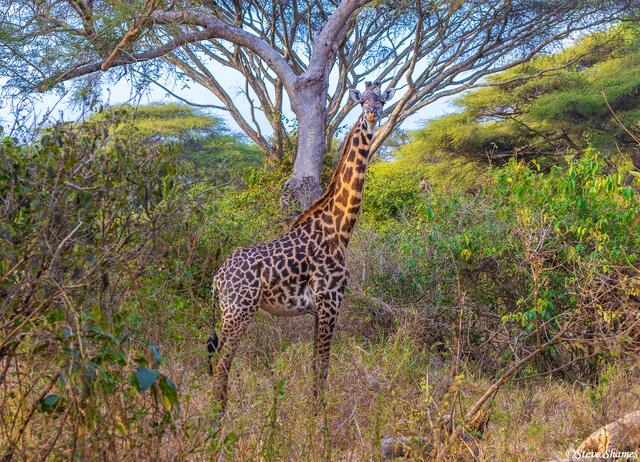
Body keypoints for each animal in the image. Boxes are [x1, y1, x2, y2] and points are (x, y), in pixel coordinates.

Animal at [207, 81, 396, 413]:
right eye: (362, 101)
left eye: (381, 101)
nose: (373, 114)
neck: (340, 228)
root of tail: (217, 279)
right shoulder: (330, 299)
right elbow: (323, 364)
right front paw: (318, 421)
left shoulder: (318, 308)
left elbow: (314, 364)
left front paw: (313, 412)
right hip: (238, 311)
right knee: (222, 362)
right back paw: (218, 418)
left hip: (229, 312)